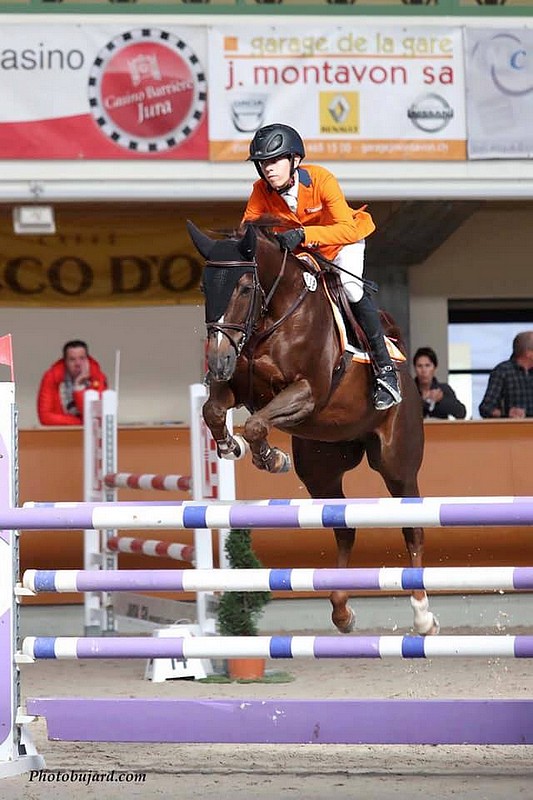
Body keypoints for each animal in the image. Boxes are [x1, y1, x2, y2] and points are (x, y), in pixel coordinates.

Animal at [186, 219, 436, 636]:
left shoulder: (307, 392)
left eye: (244, 287)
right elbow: (212, 411)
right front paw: (231, 447)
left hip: (396, 463)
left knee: (411, 527)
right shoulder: (238, 387)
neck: (273, 314)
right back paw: (341, 610)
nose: (218, 360)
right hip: (321, 469)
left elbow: (256, 424)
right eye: (206, 287)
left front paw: (270, 457)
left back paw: (422, 614)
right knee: (343, 527)